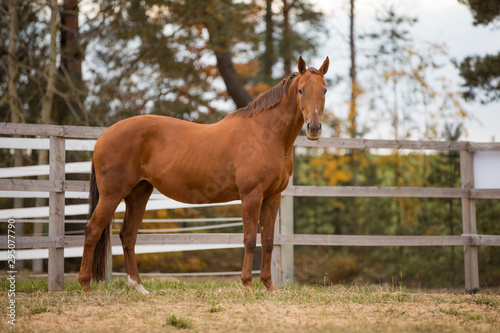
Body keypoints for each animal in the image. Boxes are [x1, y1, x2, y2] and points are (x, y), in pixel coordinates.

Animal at [77, 56, 328, 294]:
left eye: (324, 90)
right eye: (301, 90)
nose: (314, 128)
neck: (265, 134)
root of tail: (103, 136)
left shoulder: (272, 197)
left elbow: (267, 241)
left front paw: (269, 285)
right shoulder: (251, 196)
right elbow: (249, 240)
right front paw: (247, 284)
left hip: (138, 194)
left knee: (128, 235)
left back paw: (138, 286)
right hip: (112, 195)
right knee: (92, 230)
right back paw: (86, 286)